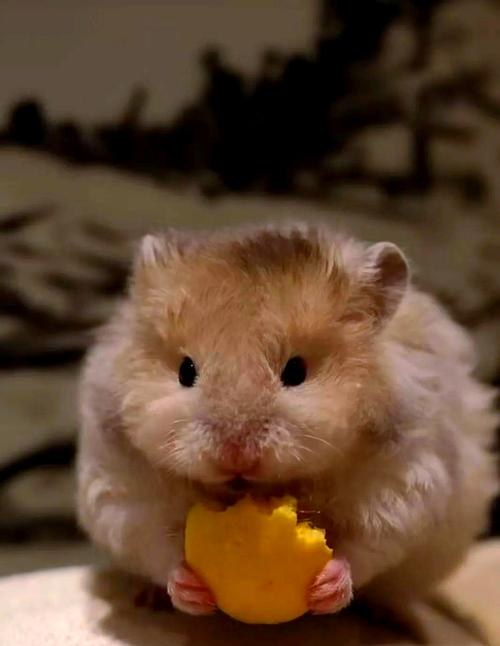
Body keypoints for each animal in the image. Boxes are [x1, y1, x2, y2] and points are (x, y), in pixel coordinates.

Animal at [77, 222, 498, 616]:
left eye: (295, 372)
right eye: (186, 371)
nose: (235, 456)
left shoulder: (402, 483)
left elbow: (367, 545)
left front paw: (327, 587)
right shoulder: (123, 487)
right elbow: (155, 544)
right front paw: (187, 589)